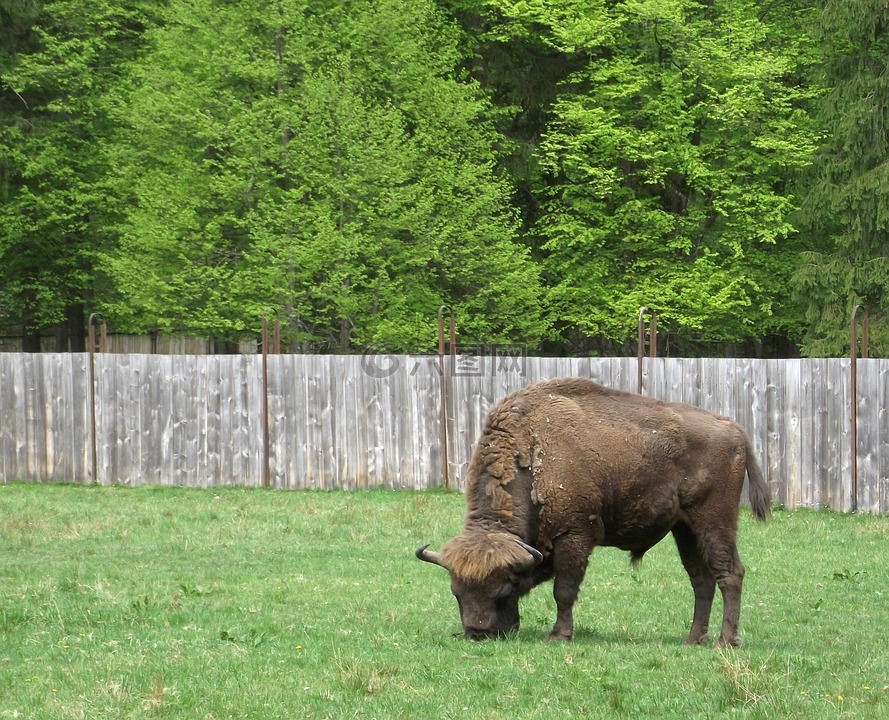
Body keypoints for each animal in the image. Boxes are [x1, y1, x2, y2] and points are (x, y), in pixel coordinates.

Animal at [416, 376, 772, 648]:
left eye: (503, 589)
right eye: (456, 592)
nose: (478, 632)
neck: (533, 448)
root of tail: (735, 430)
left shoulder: (575, 535)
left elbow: (564, 590)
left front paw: (559, 635)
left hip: (714, 521)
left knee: (730, 573)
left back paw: (725, 641)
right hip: (684, 528)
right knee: (701, 579)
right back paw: (693, 639)